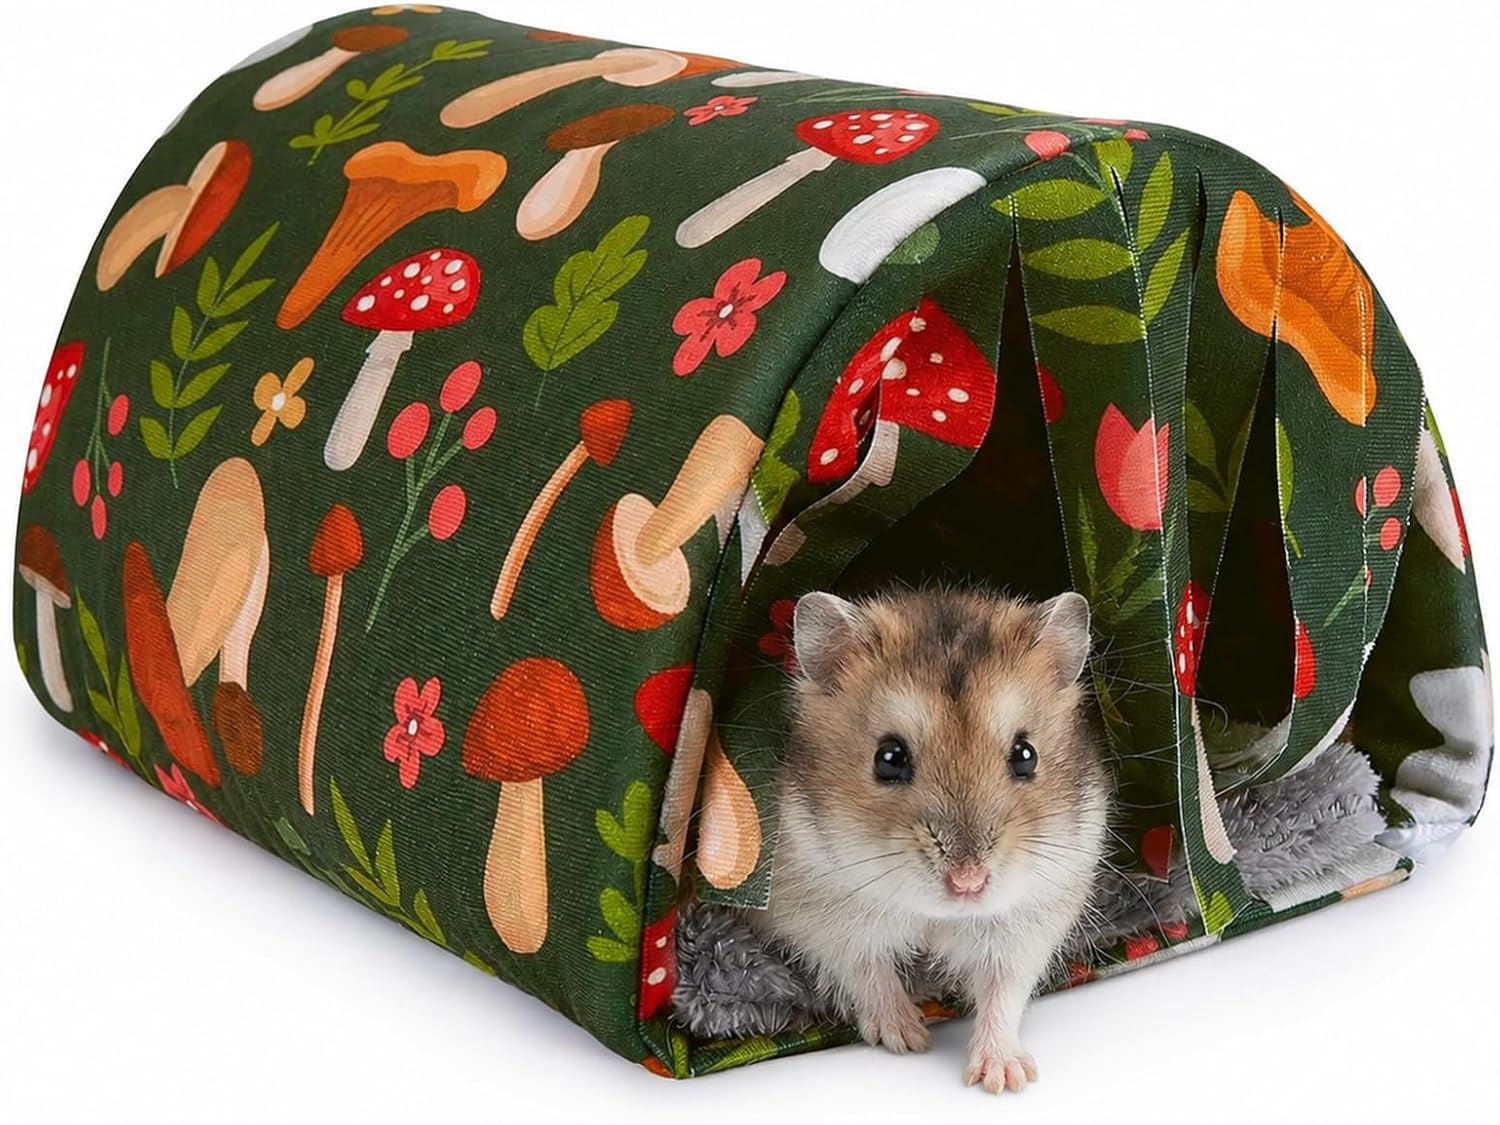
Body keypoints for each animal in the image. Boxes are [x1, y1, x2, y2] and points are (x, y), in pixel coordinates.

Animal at [752, 588, 1110, 1095]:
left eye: (1026, 755)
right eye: (889, 758)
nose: (968, 882)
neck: (935, 915)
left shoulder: (1032, 919)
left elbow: (1004, 990)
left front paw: (1004, 1079)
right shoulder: (815, 915)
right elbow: (867, 969)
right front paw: (909, 1038)